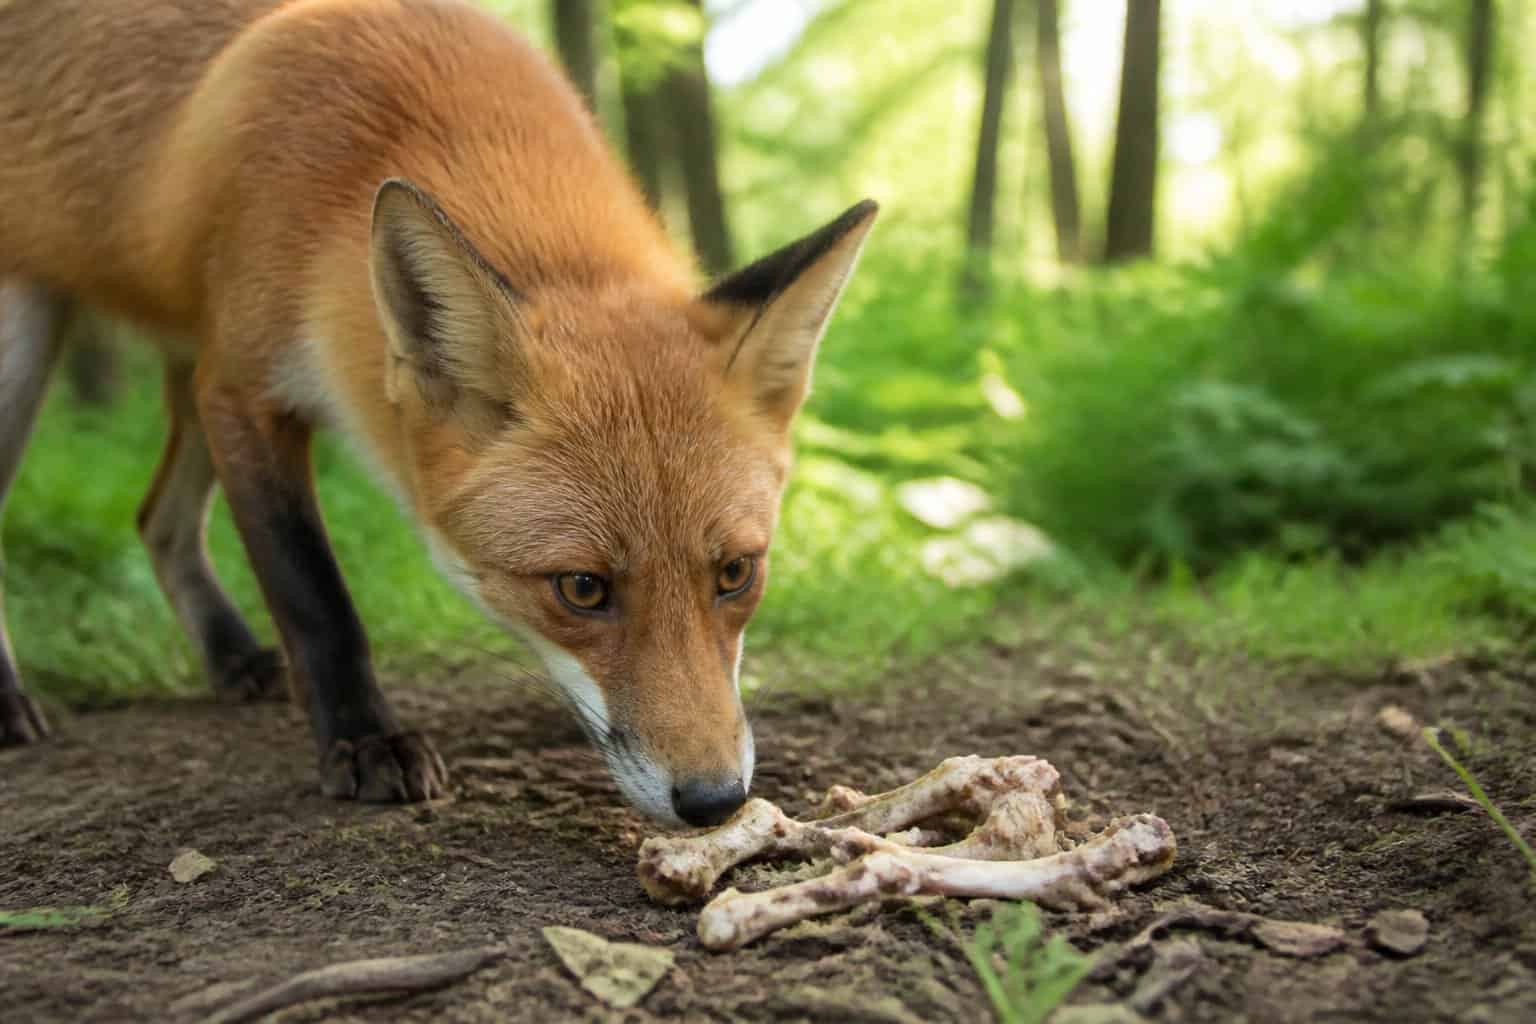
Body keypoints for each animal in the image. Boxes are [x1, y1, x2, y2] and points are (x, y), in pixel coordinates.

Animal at [0, 0, 876, 827]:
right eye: (581, 589)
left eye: (736, 574)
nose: (714, 801)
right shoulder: (244, 388)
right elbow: (315, 597)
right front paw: (365, 740)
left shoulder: (225, 376)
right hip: (30, 344)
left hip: (184, 358)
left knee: (157, 518)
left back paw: (234, 657)